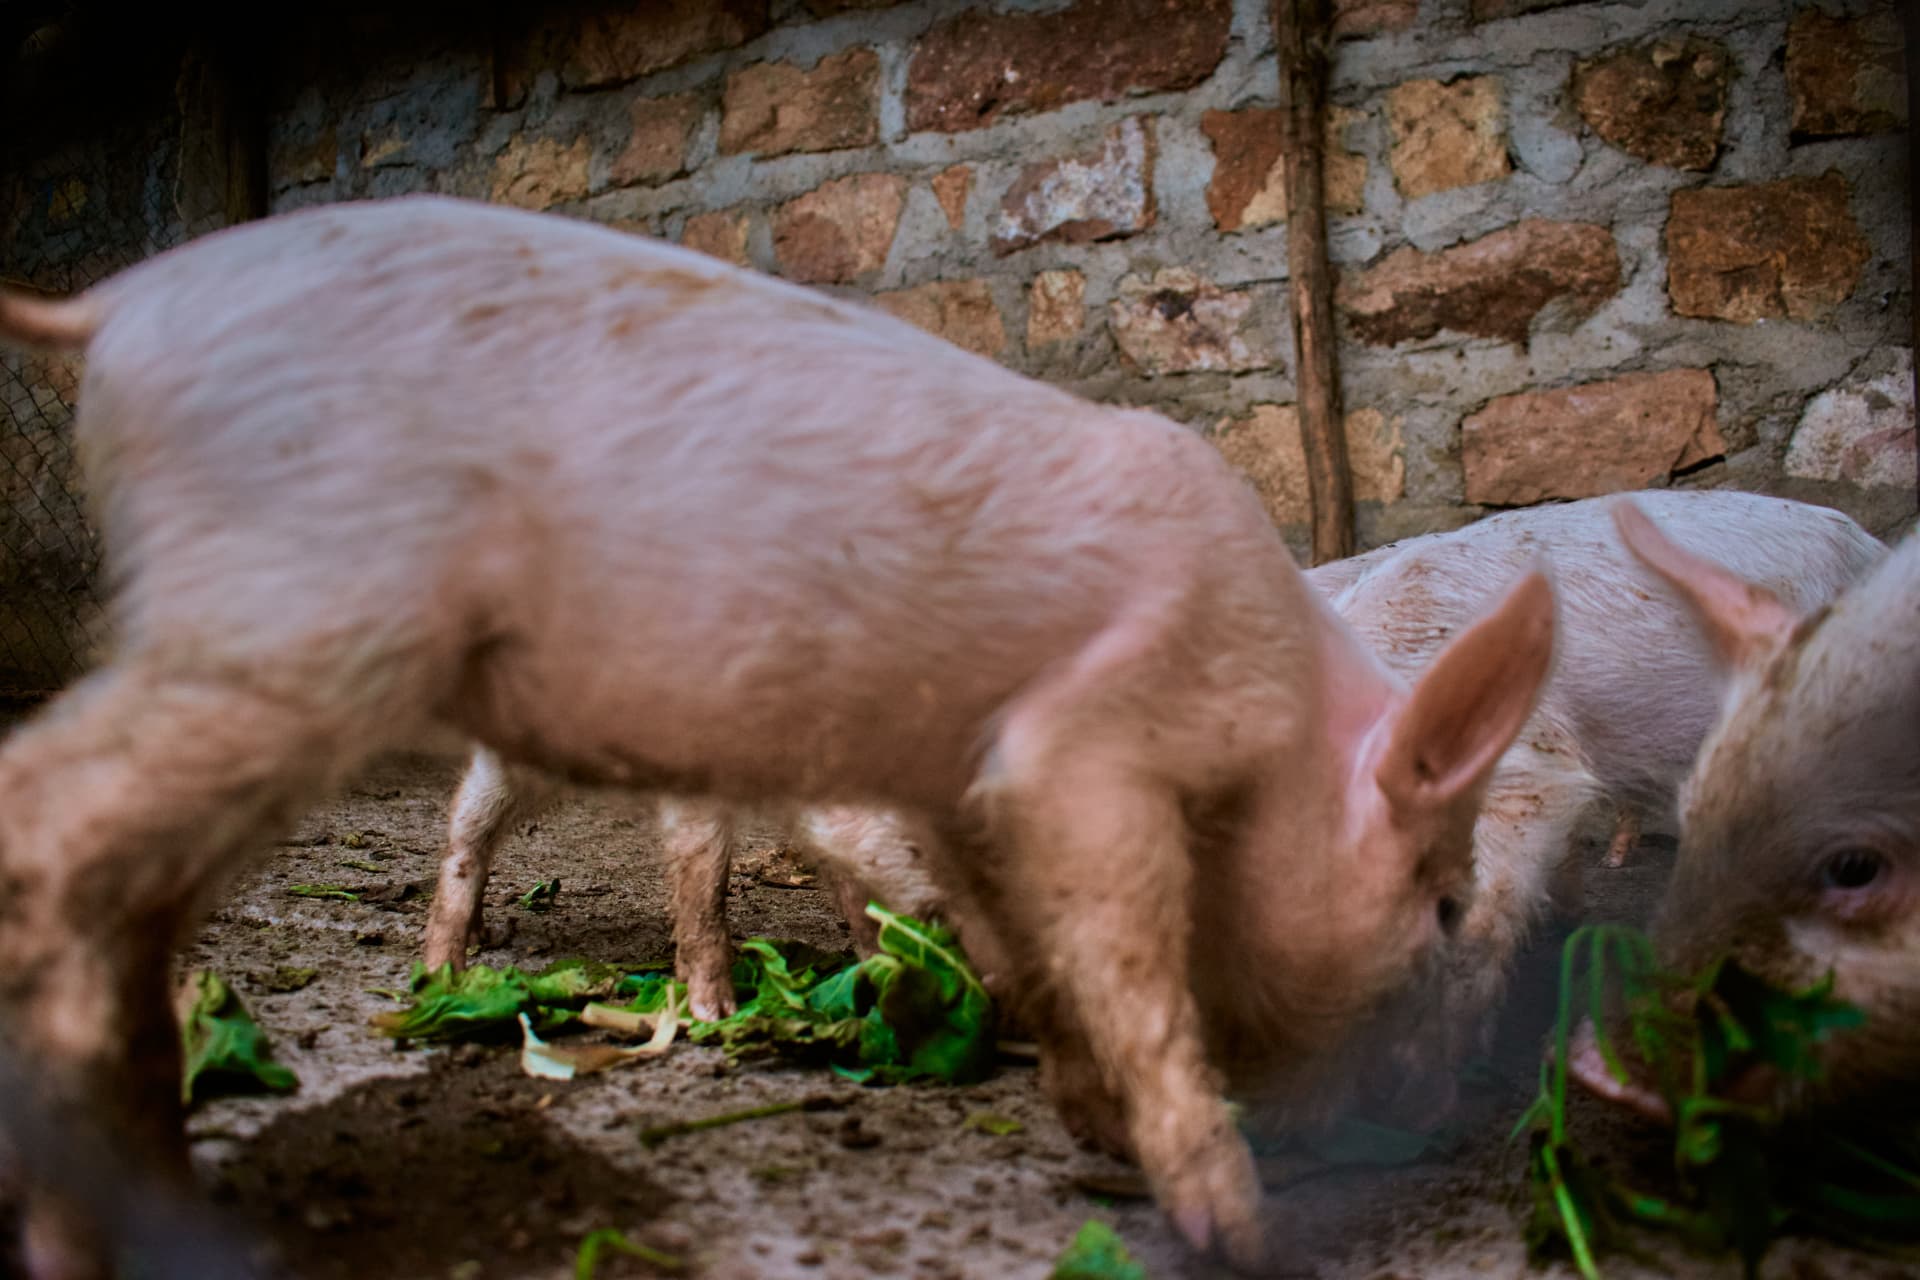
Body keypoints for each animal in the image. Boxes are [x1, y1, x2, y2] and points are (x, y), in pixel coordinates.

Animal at [422, 745, 941, 1020]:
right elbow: (703, 877)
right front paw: (715, 1014)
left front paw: (877, 971)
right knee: (467, 824)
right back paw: (443, 976)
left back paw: (483, 937)